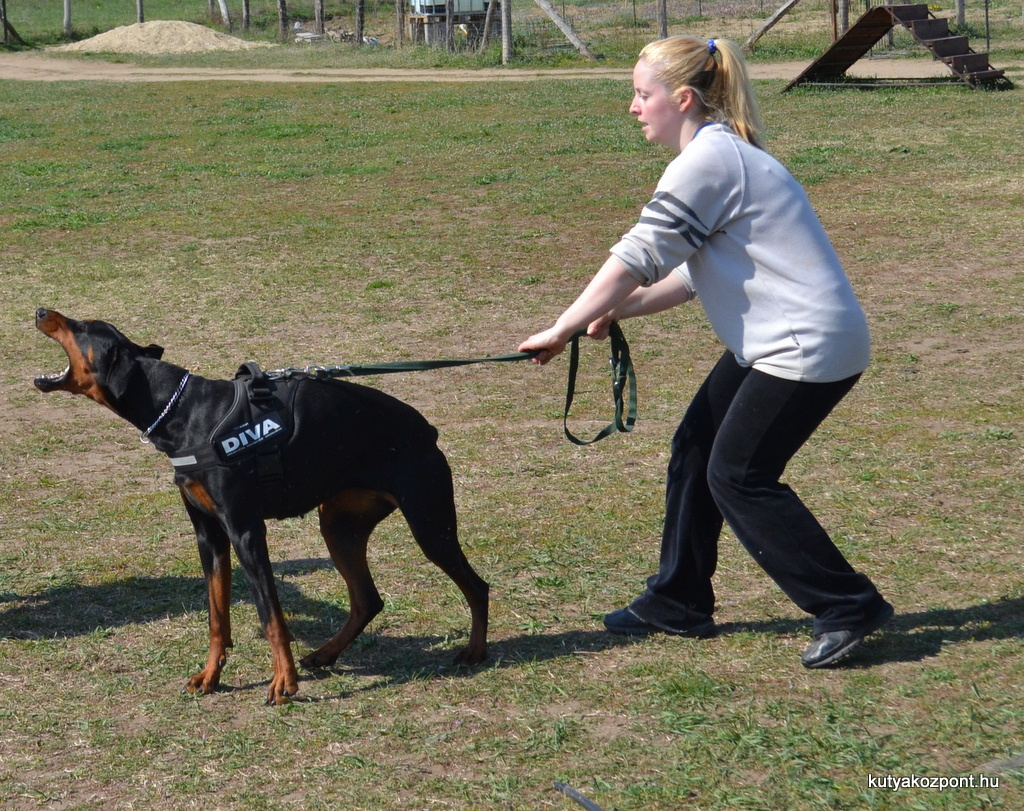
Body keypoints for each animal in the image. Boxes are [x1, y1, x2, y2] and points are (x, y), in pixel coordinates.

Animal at [32, 309, 487, 704]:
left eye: (83, 325)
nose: (40, 310)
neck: (182, 411)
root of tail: (427, 430)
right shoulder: (210, 536)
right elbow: (217, 617)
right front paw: (211, 676)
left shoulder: (246, 531)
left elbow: (272, 617)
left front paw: (284, 683)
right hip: (340, 525)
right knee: (367, 599)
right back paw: (325, 654)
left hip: (429, 524)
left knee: (476, 585)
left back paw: (474, 652)